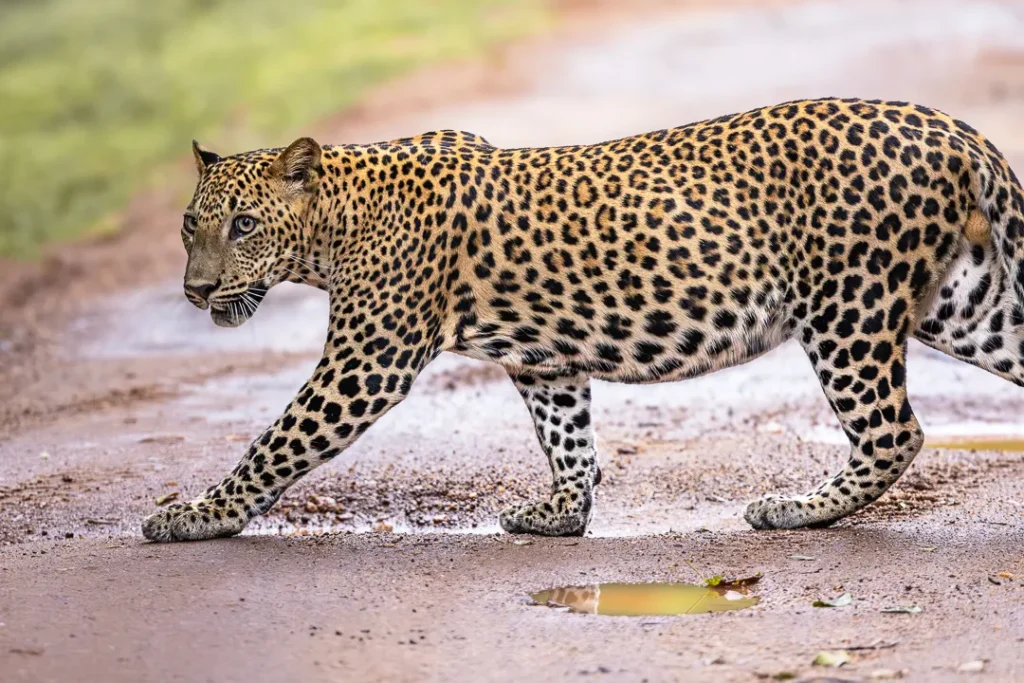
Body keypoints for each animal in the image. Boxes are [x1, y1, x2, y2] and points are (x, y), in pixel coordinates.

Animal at [142, 97, 1024, 542]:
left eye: (243, 226)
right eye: (189, 225)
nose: (195, 290)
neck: (333, 226)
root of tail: (953, 126)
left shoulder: (365, 363)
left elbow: (275, 443)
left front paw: (198, 515)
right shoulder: (545, 360)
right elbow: (568, 438)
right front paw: (563, 514)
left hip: (847, 307)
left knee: (894, 431)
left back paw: (799, 508)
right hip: (968, 302)